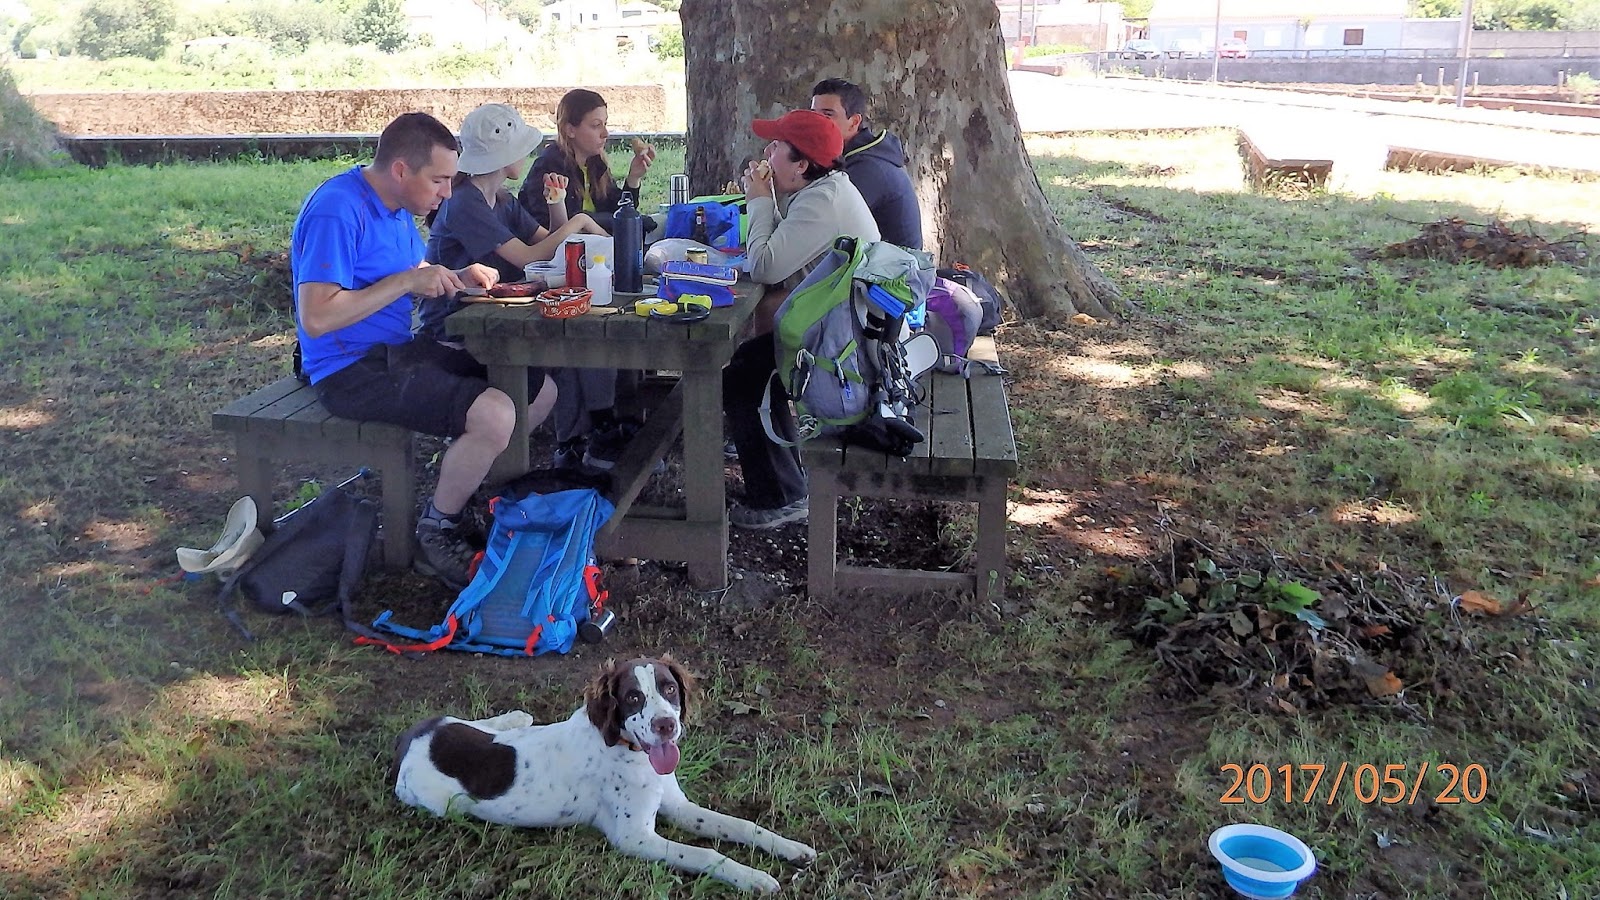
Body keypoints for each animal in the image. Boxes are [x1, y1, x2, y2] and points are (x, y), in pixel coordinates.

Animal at [391, 656, 816, 893]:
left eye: (670, 689)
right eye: (632, 697)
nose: (666, 726)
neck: (631, 753)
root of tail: (414, 741)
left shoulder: (677, 806)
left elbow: (742, 826)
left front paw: (792, 849)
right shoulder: (634, 837)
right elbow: (707, 853)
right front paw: (754, 878)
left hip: (458, 723)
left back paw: (516, 717)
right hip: (441, 804)